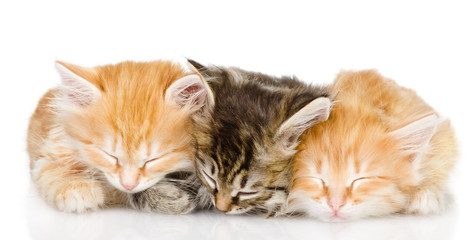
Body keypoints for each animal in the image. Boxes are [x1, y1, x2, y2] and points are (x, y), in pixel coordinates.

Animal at [26, 59, 212, 213]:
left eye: (154, 159)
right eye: (109, 155)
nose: (128, 185)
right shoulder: (54, 146)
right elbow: (50, 170)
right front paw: (77, 189)